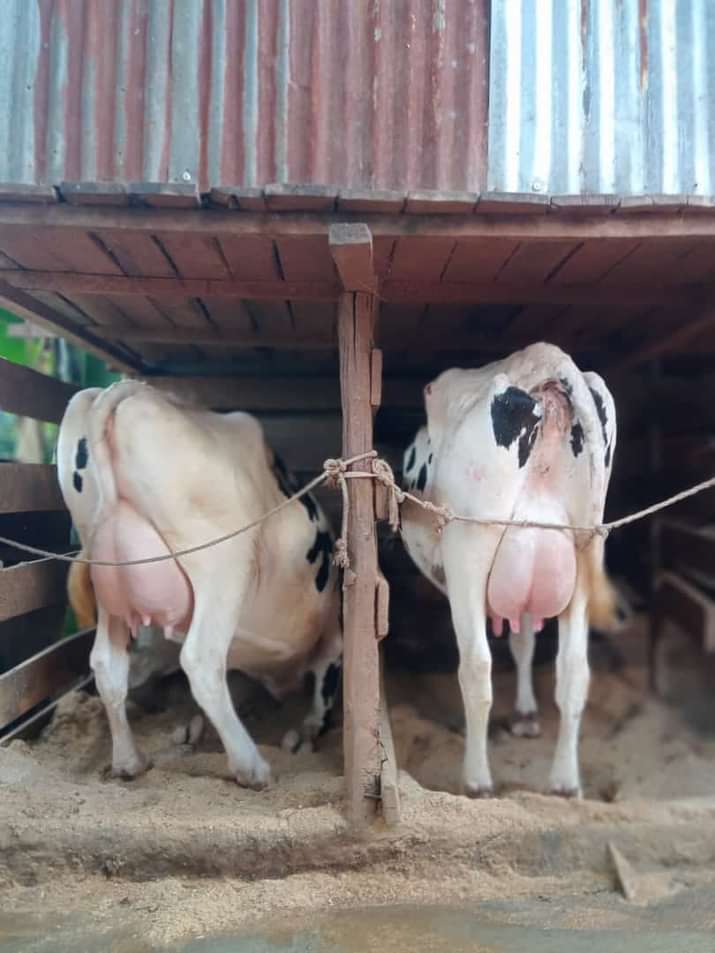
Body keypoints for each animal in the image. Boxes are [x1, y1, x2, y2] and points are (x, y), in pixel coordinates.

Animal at [57, 381, 342, 789]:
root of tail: (127, 390)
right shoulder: (334, 623)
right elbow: (325, 680)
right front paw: (306, 734)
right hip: (222, 566)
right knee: (201, 660)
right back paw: (251, 767)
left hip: (107, 574)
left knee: (107, 665)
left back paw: (129, 761)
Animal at [400, 342, 617, 798]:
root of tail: (543, 361)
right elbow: (524, 644)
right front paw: (525, 714)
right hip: (583, 550)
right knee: (575, 671)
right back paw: (565, 781)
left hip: (469, 547)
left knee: (476, 667)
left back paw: (477, 779)